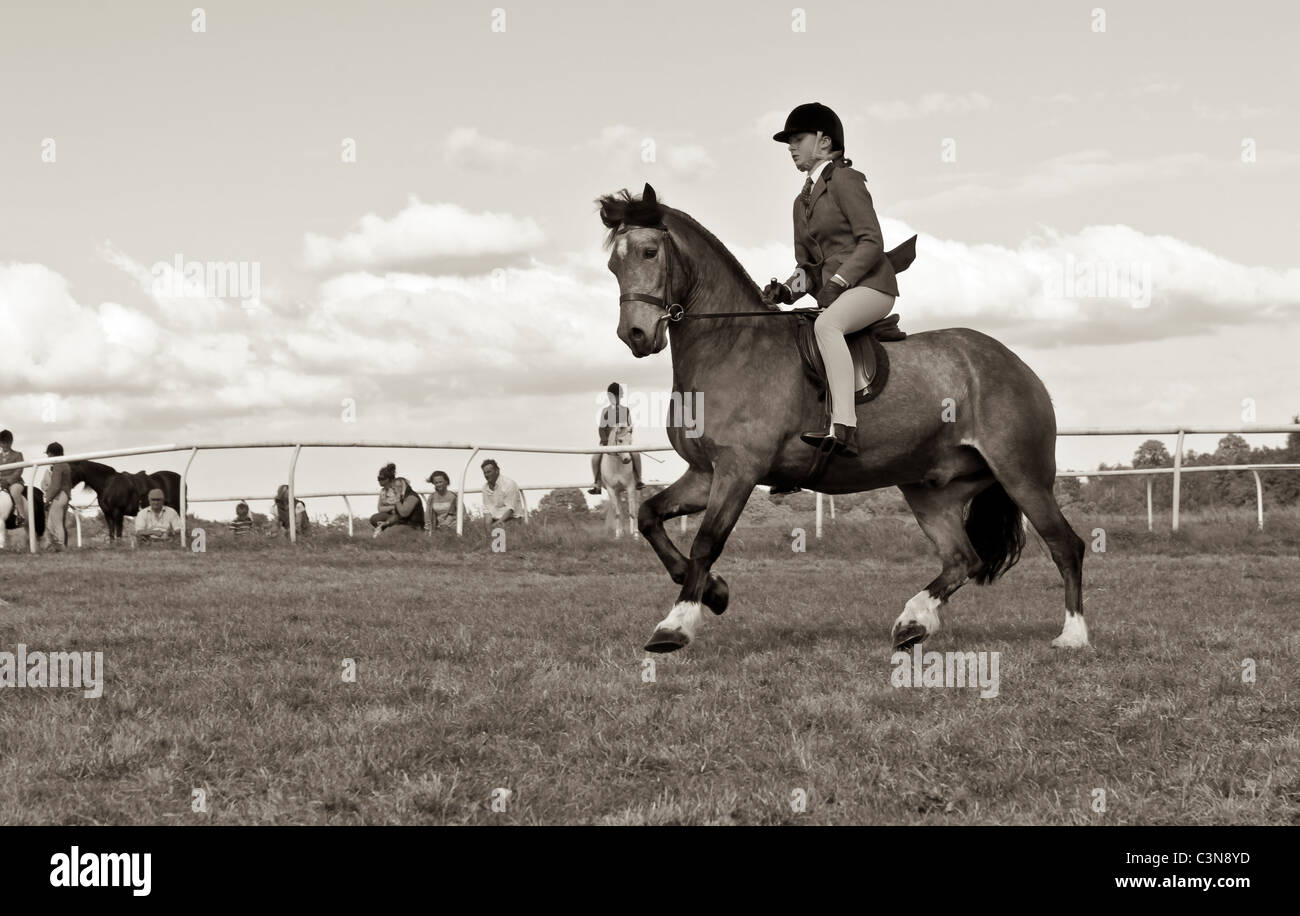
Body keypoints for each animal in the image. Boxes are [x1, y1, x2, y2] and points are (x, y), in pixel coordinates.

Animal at [598, 185, 1086, 654]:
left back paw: (1073, 635)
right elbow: (649, 517)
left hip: (1022, 474)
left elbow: (707, 542)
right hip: (932, 489)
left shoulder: (739, 470)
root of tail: (1016, 364)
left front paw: (675, 625)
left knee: (1065, 544)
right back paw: (913, 622)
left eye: (649, 252)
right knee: (962, 558)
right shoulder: (705, 473)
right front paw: (715, 593)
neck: (731, 345)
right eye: (611, 264)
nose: (635, 336)